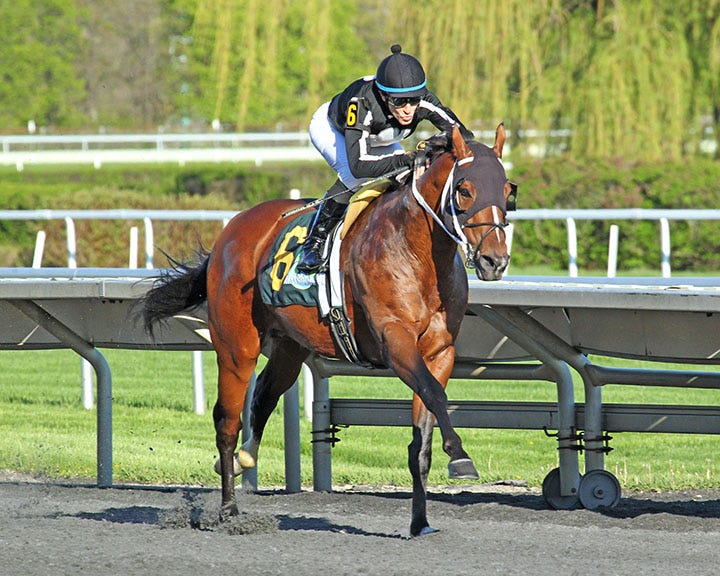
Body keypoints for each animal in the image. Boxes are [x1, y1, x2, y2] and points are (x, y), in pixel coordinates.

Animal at [142, 124, 514, 536]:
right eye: (465, 190)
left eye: (508, 190)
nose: (495, 261)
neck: (417, 253)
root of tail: (233, 228)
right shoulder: (394, 341)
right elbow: (434, 393)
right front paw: (460, 456)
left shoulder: (439, 352)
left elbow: (423, 433)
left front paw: (420, 521)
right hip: (236, 345)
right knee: (227, 418)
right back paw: (228, 508)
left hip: (290, 347)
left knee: (264, 396)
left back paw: (244, 460)